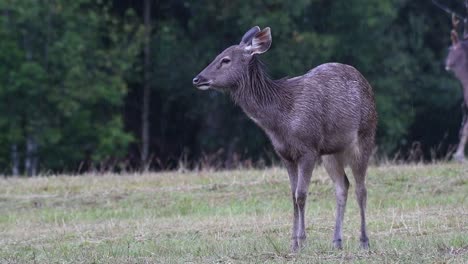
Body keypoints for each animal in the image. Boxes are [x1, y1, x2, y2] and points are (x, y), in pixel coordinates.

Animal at [192, 26, 378, 252]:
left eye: (225, 59)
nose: (197, 79)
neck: (279, 123)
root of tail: (367, 85)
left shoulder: (308, 149)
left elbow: (301, 194)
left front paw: (302, 241)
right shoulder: (285, 154)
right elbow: (292, 195)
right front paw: (293, 243)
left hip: (365, 136)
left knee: (361, 189)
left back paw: (364, 241)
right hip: (332, 153)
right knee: (343, 186)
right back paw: (336, 242)